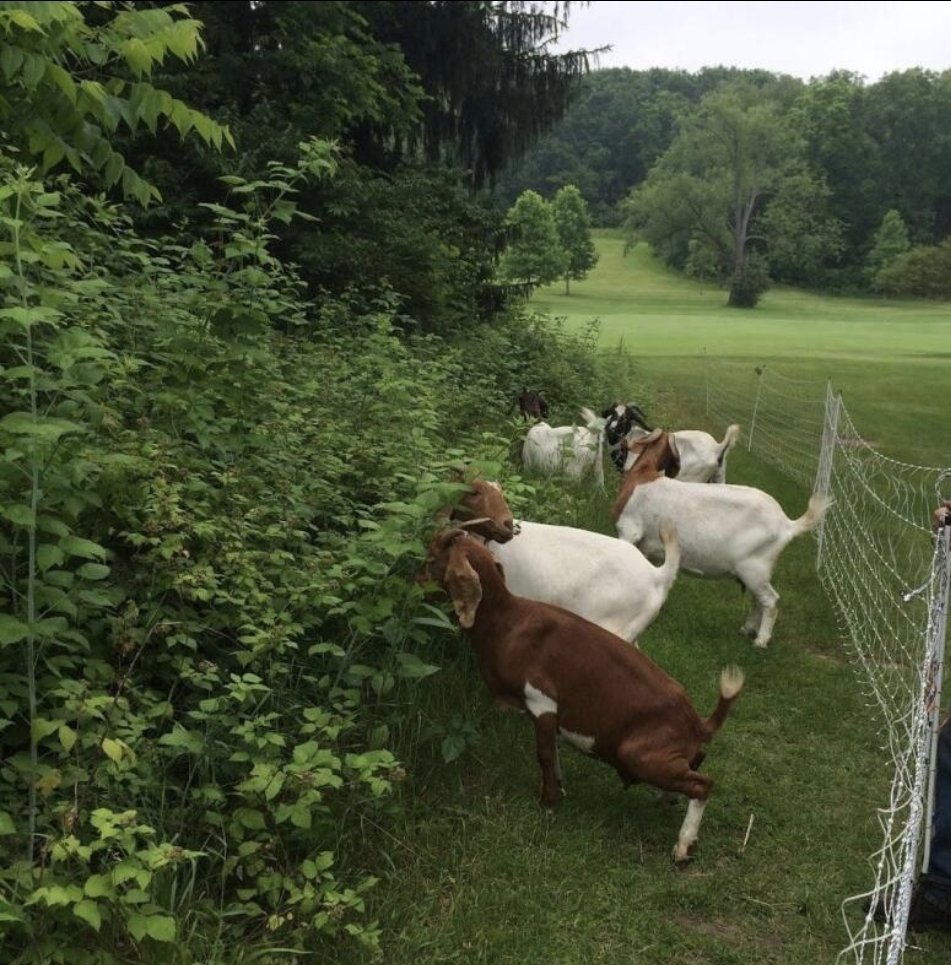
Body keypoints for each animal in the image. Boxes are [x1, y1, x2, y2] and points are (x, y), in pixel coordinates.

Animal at [421, 528, 745, 864]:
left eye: (431, 559)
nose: (417, 583)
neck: (507, 620)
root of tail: (697, 723)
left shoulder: (542, 700)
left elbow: (544, 753)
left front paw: (548, 802)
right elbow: (553, 749)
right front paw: (559, 789)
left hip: (637, 753)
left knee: (703, 784)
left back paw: (683, 847)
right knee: (697, 764)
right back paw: (668, 799)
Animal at [613, 429, 830, 648]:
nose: (627, 435)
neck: (643, 476)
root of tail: (787, 524)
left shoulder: (629, 531)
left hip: (754, 568)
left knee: (771, 601)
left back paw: (760, 640)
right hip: (755, 572)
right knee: (758, 600)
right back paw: (747, 629)